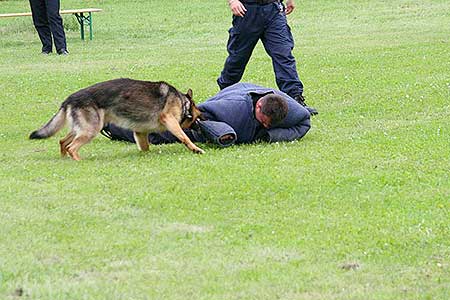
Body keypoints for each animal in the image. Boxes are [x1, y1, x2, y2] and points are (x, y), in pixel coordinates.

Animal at [31, 78, 206, 161]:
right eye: (197, 117)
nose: (202, 122)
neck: (183, 103)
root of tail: (69, 99)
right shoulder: (169, 119)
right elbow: (184, 137)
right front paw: (196, 149)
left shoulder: (140, 132)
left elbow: (145, 147)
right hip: (91, 129)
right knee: (71, 147)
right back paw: (79, 161)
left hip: (82, 128)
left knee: (63, 142)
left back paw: (64, 159)